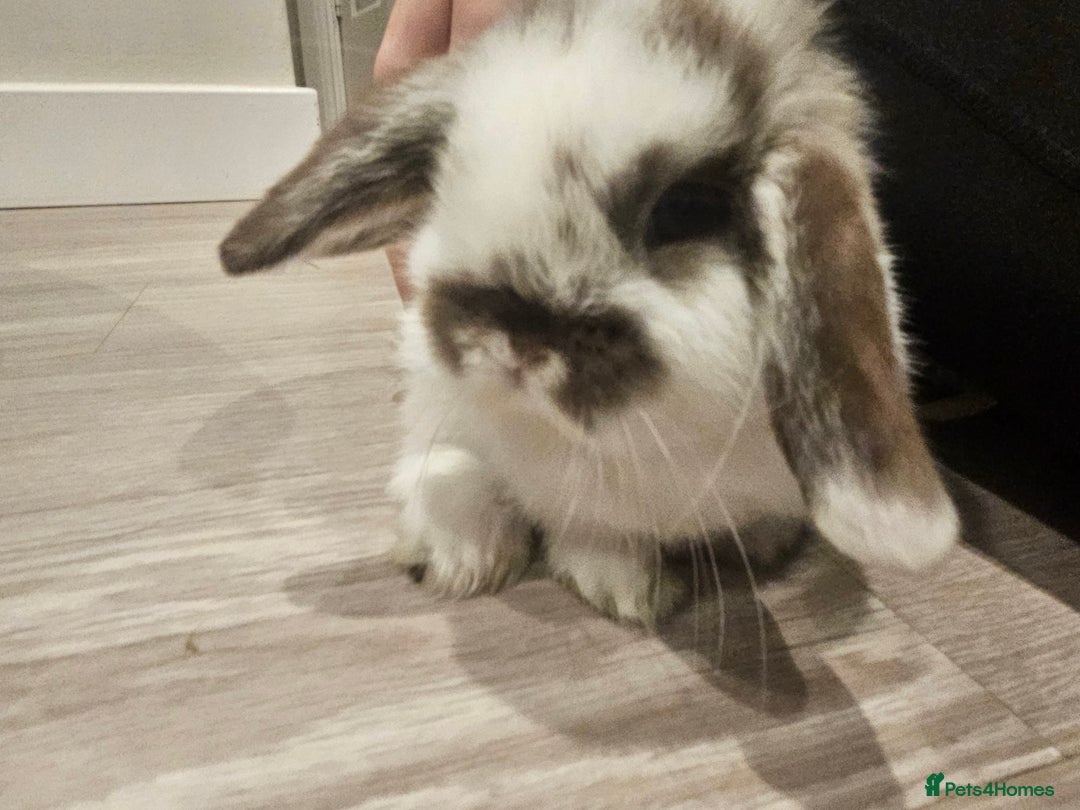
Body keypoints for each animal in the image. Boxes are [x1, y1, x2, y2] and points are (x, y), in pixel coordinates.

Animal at [219, 0, 959, 626]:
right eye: (450, 176)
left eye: (682, 210)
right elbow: (586, 529)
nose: (515, 341)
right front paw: (630, 592)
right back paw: (459, 560)